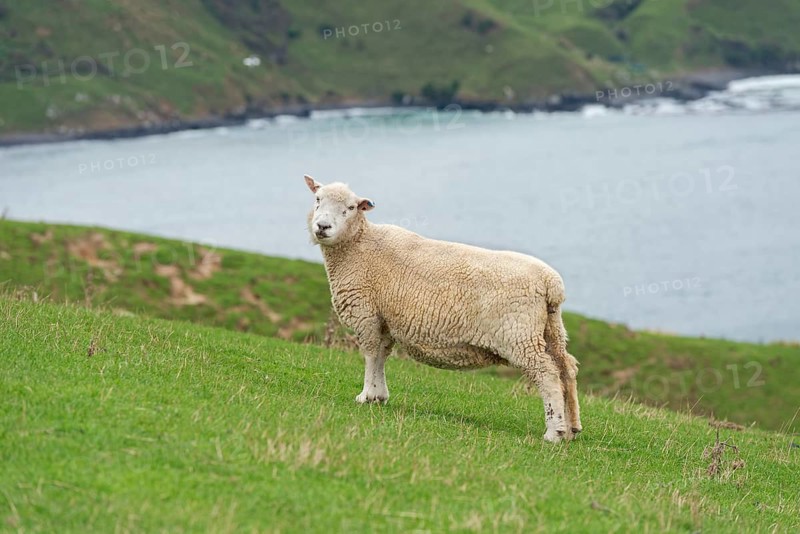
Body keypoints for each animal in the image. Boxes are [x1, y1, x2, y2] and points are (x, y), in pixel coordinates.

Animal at [304, 175, 582, 443]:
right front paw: (379, 396)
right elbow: (382, 355)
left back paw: (554, 433)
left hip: (519, 334)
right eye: (317, 199)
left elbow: (371, 355)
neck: (359, 247)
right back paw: (572, 429)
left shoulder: (367, 314)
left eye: (350, 208)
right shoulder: (385, 318)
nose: (322, 227)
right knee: (566, 369)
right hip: (551, 330)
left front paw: (366, 396)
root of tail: (550, 283)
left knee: (547, 374)